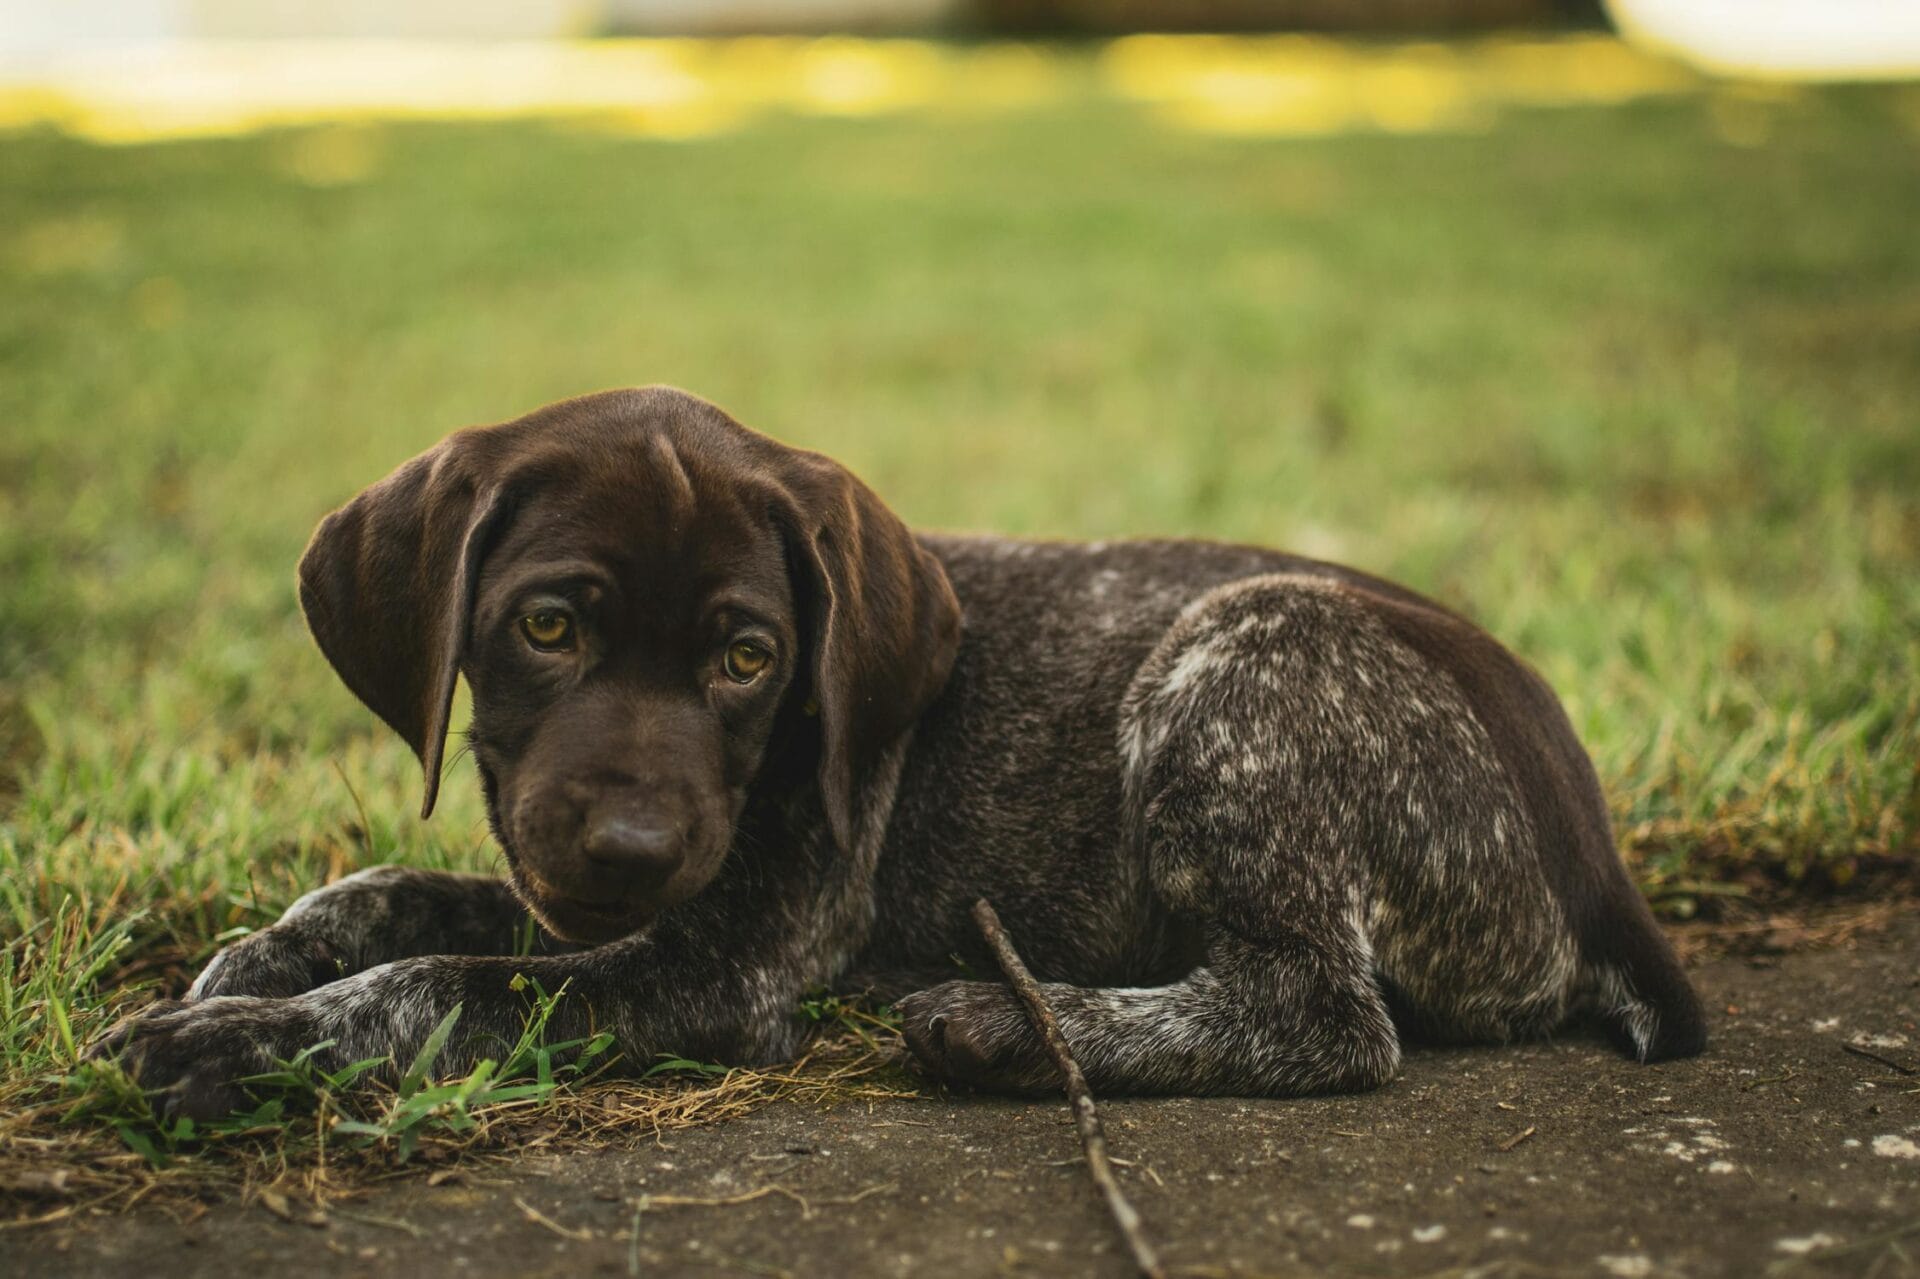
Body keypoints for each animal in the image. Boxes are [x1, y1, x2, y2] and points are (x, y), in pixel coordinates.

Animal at [93, 384, 1712, 1113]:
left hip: (1248, 646)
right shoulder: (591, 892)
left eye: (749, 659)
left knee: (1322, 1015)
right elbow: (398, 892)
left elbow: (442, 983)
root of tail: (1598, 863)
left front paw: (241, 1039)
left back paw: (1009, 1022)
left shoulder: (724, 963)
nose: (631, 844)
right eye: (547, 627)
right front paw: (259, 958)